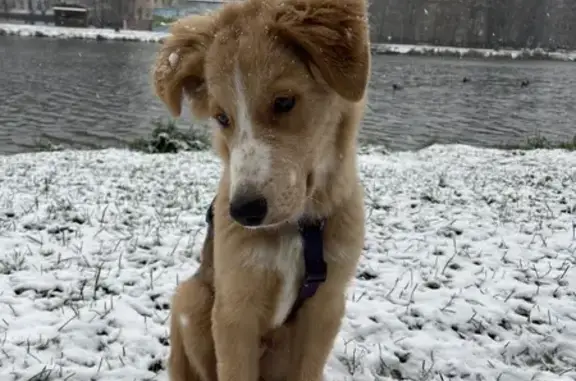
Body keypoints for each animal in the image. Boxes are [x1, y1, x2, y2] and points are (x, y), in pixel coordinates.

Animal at [152, 0, 368, 380]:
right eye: (222, 117)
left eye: (284, 102)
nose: (243, 212)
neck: (297, 230)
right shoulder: (235, 308)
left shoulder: (327, 305)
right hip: (192, 298)